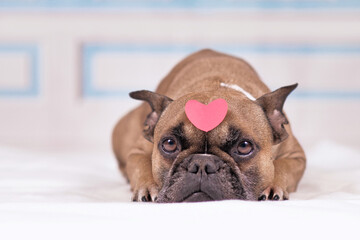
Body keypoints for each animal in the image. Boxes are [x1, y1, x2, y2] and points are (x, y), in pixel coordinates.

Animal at [111, 49, 306, 202]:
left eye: (244, 146)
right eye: (169, 144)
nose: (202, 164)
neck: (215, 86)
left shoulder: (296, 156)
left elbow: (283, 166)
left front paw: (273, 185)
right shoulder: (137, 151)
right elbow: (141, 165)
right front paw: (148, 187)